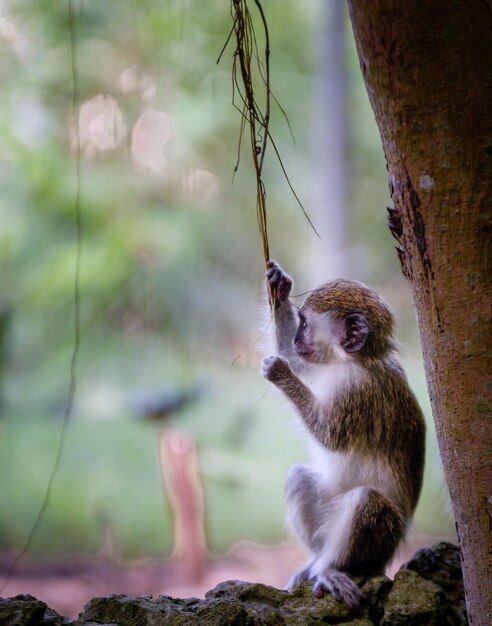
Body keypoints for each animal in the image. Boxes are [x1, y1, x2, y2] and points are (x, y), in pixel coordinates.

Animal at [262, 258, 426, 604]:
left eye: (306, 324)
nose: (297, 339)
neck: (355, 360)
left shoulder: (358, 392)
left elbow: (330, 436)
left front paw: (281, 372)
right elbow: (300, 363)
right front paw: (279, 289)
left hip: (381, 543)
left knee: (367, 501)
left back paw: (330, 568)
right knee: (298, 477)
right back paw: (314, 562)